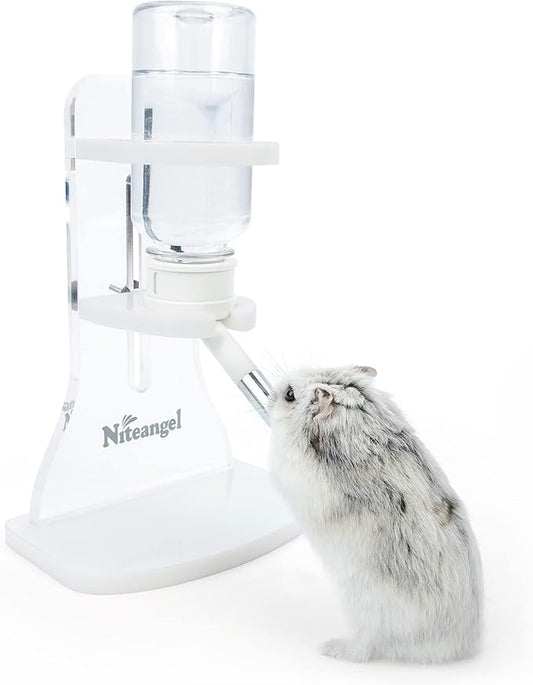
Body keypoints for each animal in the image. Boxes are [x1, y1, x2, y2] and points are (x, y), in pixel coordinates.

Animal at [269, 365, 482, 664]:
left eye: (289, 394)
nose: (269, 394)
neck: (358, 420)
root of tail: (457, 648)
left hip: (366, 613)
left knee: (366, 649)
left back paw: (331, 648)